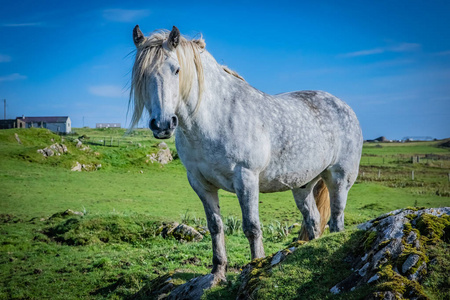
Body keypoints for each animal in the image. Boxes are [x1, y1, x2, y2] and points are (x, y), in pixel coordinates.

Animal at [129, 25, 362, 284]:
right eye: (142, 74)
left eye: (177, 69)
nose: (162, 124)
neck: (216, 117)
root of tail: (344, 106)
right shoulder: (200, 183)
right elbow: (215, 227)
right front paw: (217, 275)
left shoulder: (246, 178)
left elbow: (251, 227)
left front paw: (254, 268)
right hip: (303, 185)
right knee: (313, 220)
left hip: (339, 179)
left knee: (336, 219)